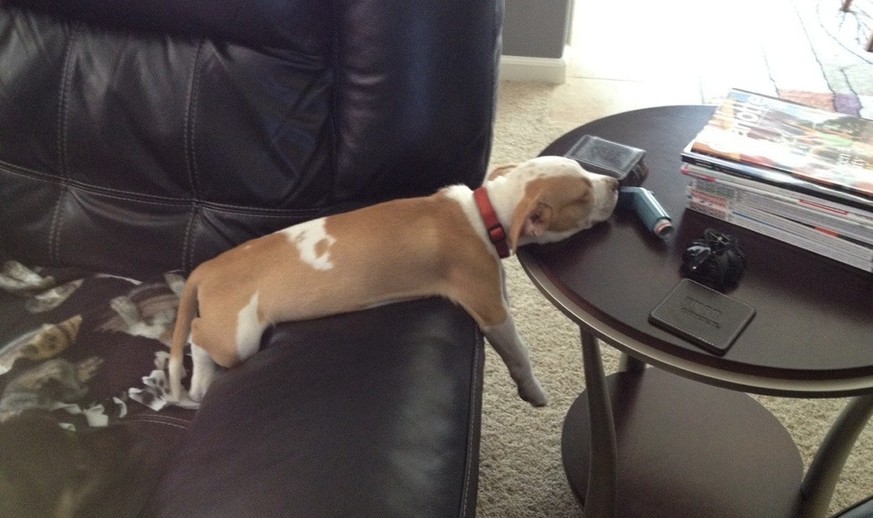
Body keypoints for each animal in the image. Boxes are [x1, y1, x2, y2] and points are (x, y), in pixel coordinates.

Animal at [169, 156, 619, 407]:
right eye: (582, 195)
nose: (616, 183)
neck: (484, 212)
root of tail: (209, 267)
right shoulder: (491, 309)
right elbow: (520, 355)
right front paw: (535, 392)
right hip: (238, 335)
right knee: (196, 332)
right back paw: (200, 376)